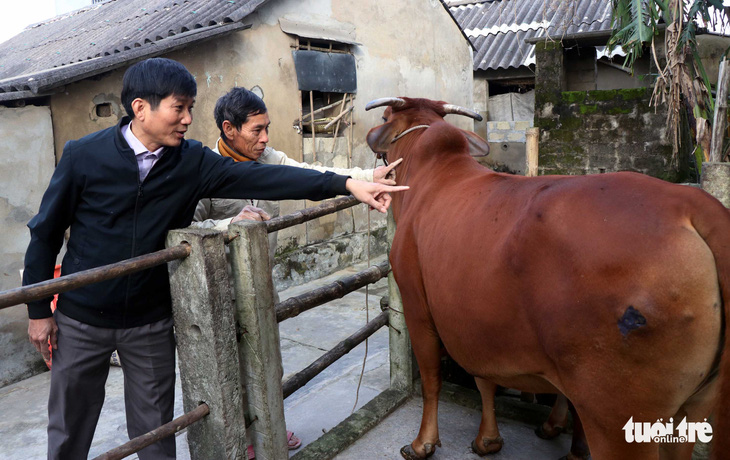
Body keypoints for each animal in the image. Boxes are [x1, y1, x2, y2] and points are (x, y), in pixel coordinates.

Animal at [364, 95, 728, 458]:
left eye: (383, 118)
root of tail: (690, 203)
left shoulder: (417, 305)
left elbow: (432, 378)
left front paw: (423, 442)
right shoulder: (476, 326)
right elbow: (485, 379)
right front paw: (489, 439)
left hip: (617, 417)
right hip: (693, 409)